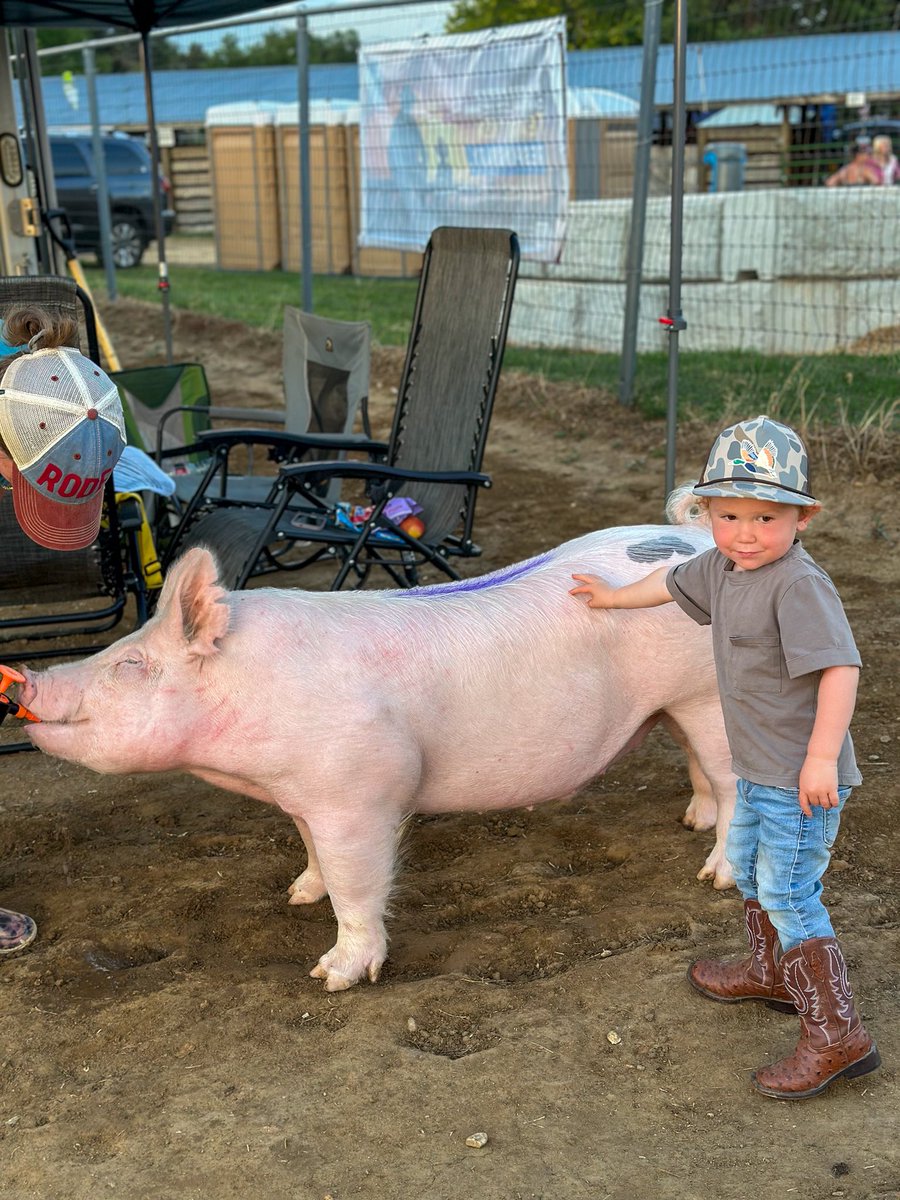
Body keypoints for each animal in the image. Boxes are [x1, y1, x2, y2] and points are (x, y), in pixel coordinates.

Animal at [20, 501, 736, 992]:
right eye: (122, 646)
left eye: (131, 664)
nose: (24, 678)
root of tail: (701, 540)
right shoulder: (303, 791)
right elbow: (311, 849)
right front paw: (297, 895)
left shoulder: (360, 787)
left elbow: (355, 880)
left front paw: (332, 976)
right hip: (678, 704)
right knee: (697, 765)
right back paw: (689, 820)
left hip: (711, 696)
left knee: (736, 787)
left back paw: (716, 876)